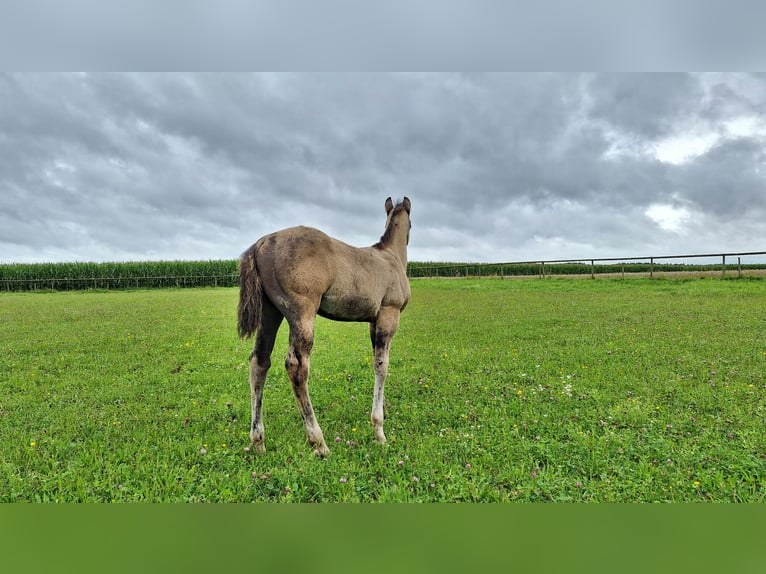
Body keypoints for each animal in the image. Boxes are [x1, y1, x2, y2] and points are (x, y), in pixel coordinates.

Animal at [238, 197, 411, 456]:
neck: (391, 256)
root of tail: (262, 243)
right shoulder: (388, 314)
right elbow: (382, 365)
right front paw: (379, 432)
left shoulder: (373, 321)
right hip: (302, 313)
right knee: (296, 366)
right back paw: (318, 442)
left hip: (270, 313)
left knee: (259, 362)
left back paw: (258, 441)